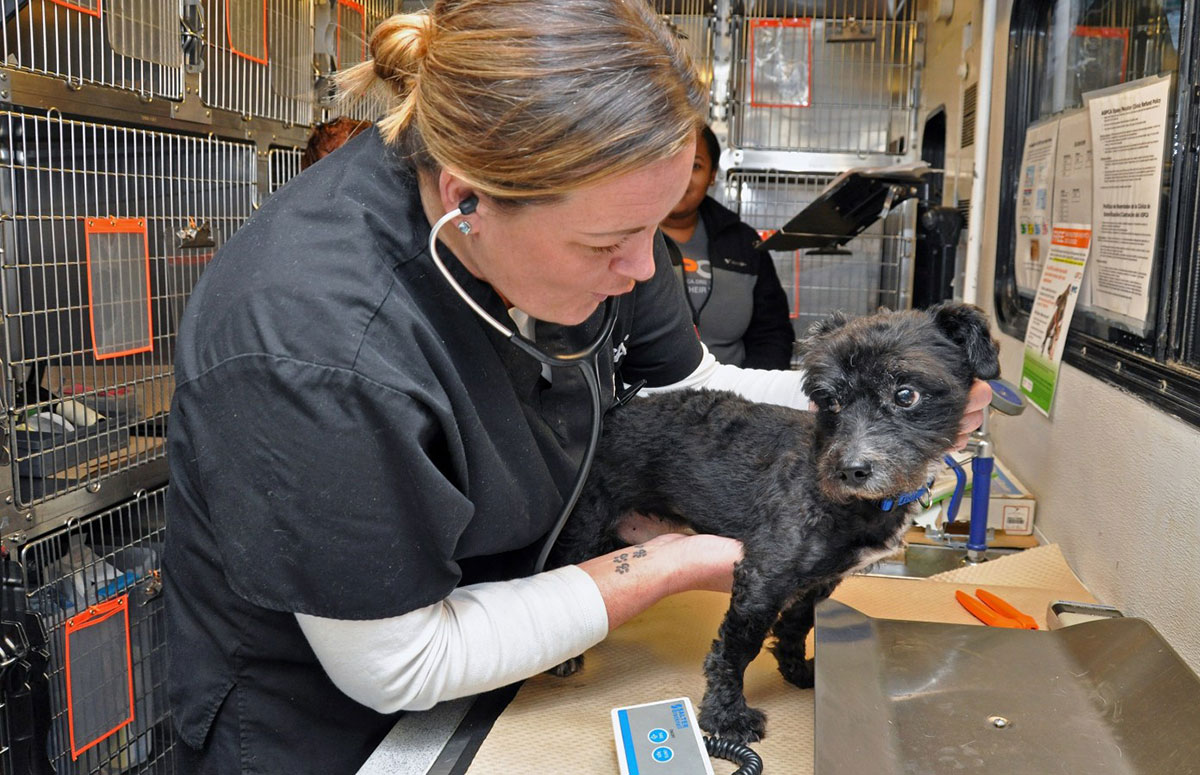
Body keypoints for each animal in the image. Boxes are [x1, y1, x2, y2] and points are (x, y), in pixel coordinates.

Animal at [549, 301, 998, 743]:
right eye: (830, 401)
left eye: (906, 394)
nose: (850, 470)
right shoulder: (764, 577)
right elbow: (735, 650)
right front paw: (726, 718)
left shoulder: (819, 579)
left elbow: (796, 625)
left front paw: (796, 669)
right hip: (584, 529)